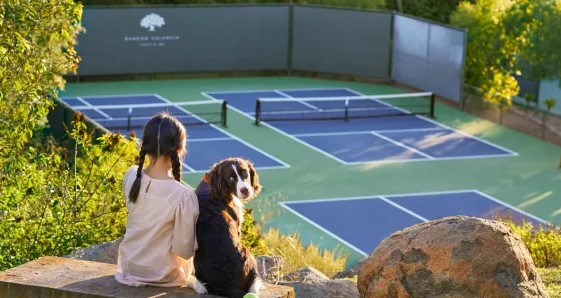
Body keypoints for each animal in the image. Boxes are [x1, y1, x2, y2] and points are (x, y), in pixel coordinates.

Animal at [192, 157, 262, 296]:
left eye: (245, 173)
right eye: (230, 178)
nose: (245, 190)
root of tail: (226, 284)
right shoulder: (238, 223)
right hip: (248, 254)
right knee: (253, 284)